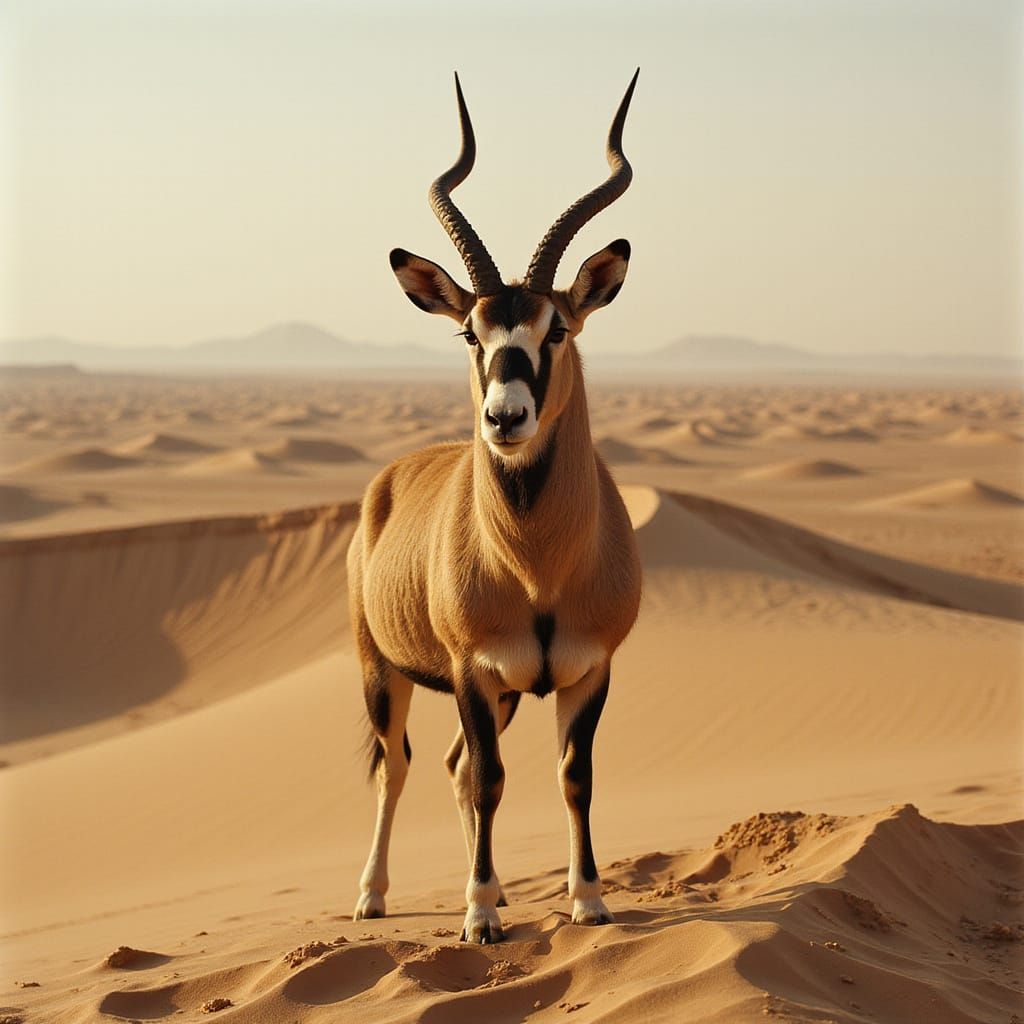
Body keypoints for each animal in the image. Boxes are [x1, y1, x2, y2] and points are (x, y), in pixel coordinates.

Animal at [349, 70, 642, 944]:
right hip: (386, 673)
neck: (538, 569)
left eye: (558, 329)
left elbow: (574, 776)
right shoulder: (472, 672)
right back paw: (374, 895)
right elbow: (489, 780)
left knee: (446, 766)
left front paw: (588, 900)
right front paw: (476, 918)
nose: (505, 419)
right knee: (401, 765)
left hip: (507, 694)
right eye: (472, 335)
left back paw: (503, 889)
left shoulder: (588, 670)